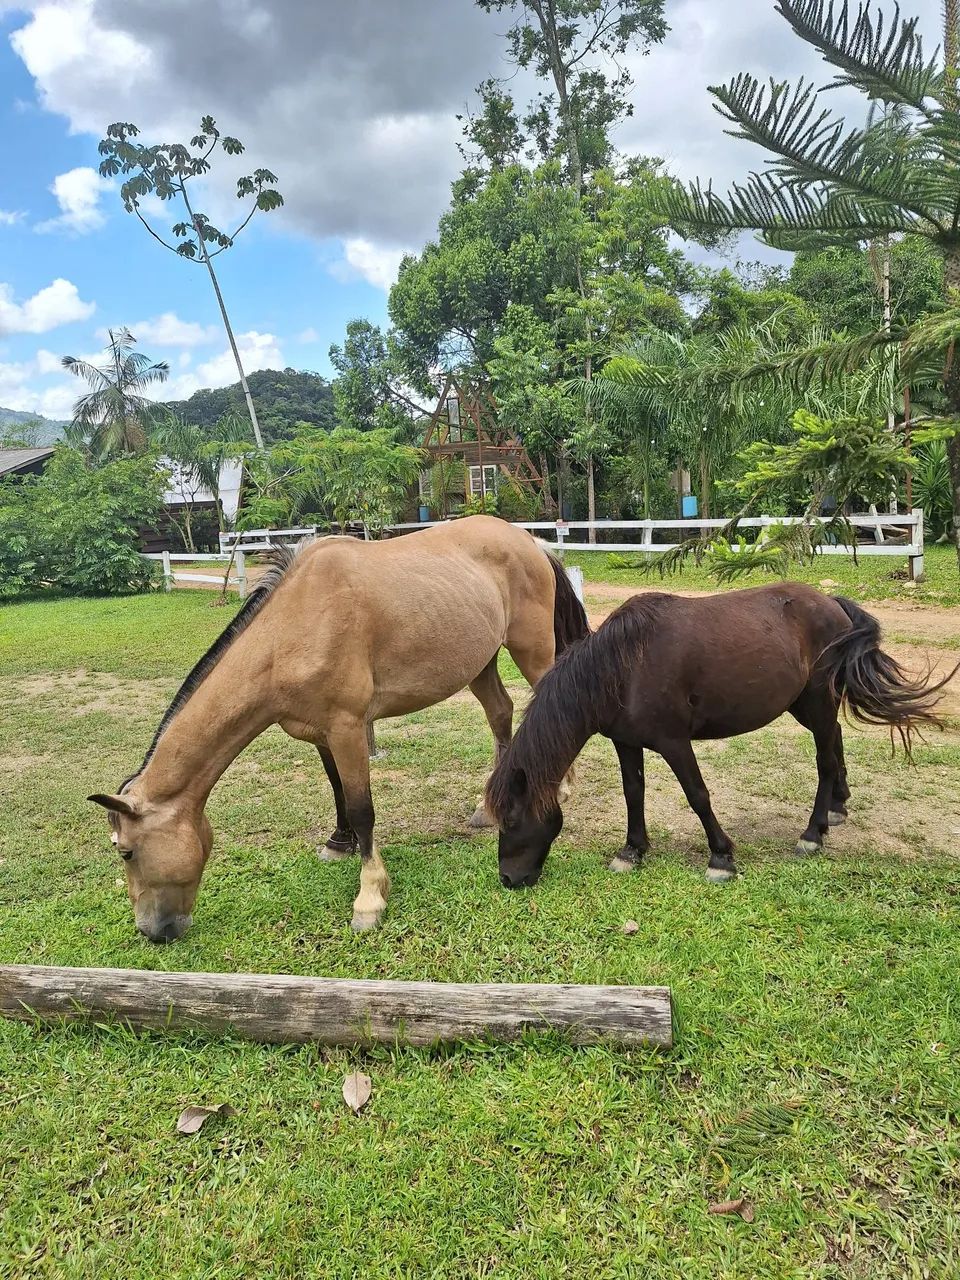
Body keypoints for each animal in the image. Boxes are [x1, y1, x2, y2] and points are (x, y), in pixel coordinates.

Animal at [88, 516, 588, 941]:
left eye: (126, 851)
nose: (152, 931)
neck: (292, 629)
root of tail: (529, 541)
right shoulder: (321, 733)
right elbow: (339, 791)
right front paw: (338, 842)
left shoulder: (348, 727)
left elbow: (363, 807)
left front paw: (369, 898)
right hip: (479, 661)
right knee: (500, 713)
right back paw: (488, 807)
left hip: (531, 648)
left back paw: (560, 785)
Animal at [486, 584, 957, 889]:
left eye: (511, 819)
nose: (509, 879)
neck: (622, 668)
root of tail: (832, 604)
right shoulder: (627, 742)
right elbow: (633, 793)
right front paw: (631, 851)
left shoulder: (674, 743)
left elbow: (697, 795)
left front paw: (721, 857)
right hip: (806, 706)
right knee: (837, 739)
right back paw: (837, 808)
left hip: (817, 703)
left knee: (825, 760)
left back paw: (812, 834)